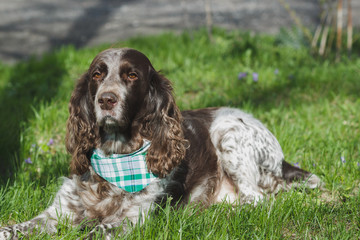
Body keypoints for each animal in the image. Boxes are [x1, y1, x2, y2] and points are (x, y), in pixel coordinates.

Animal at [0, 47, 320, 239]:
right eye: (97, 74)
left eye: (131, 75)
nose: (106, 99)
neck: (117, 158)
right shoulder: (59, 211)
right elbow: (15, 228)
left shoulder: (134, 220)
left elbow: (95, 231)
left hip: (227, 133)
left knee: (257, 200)